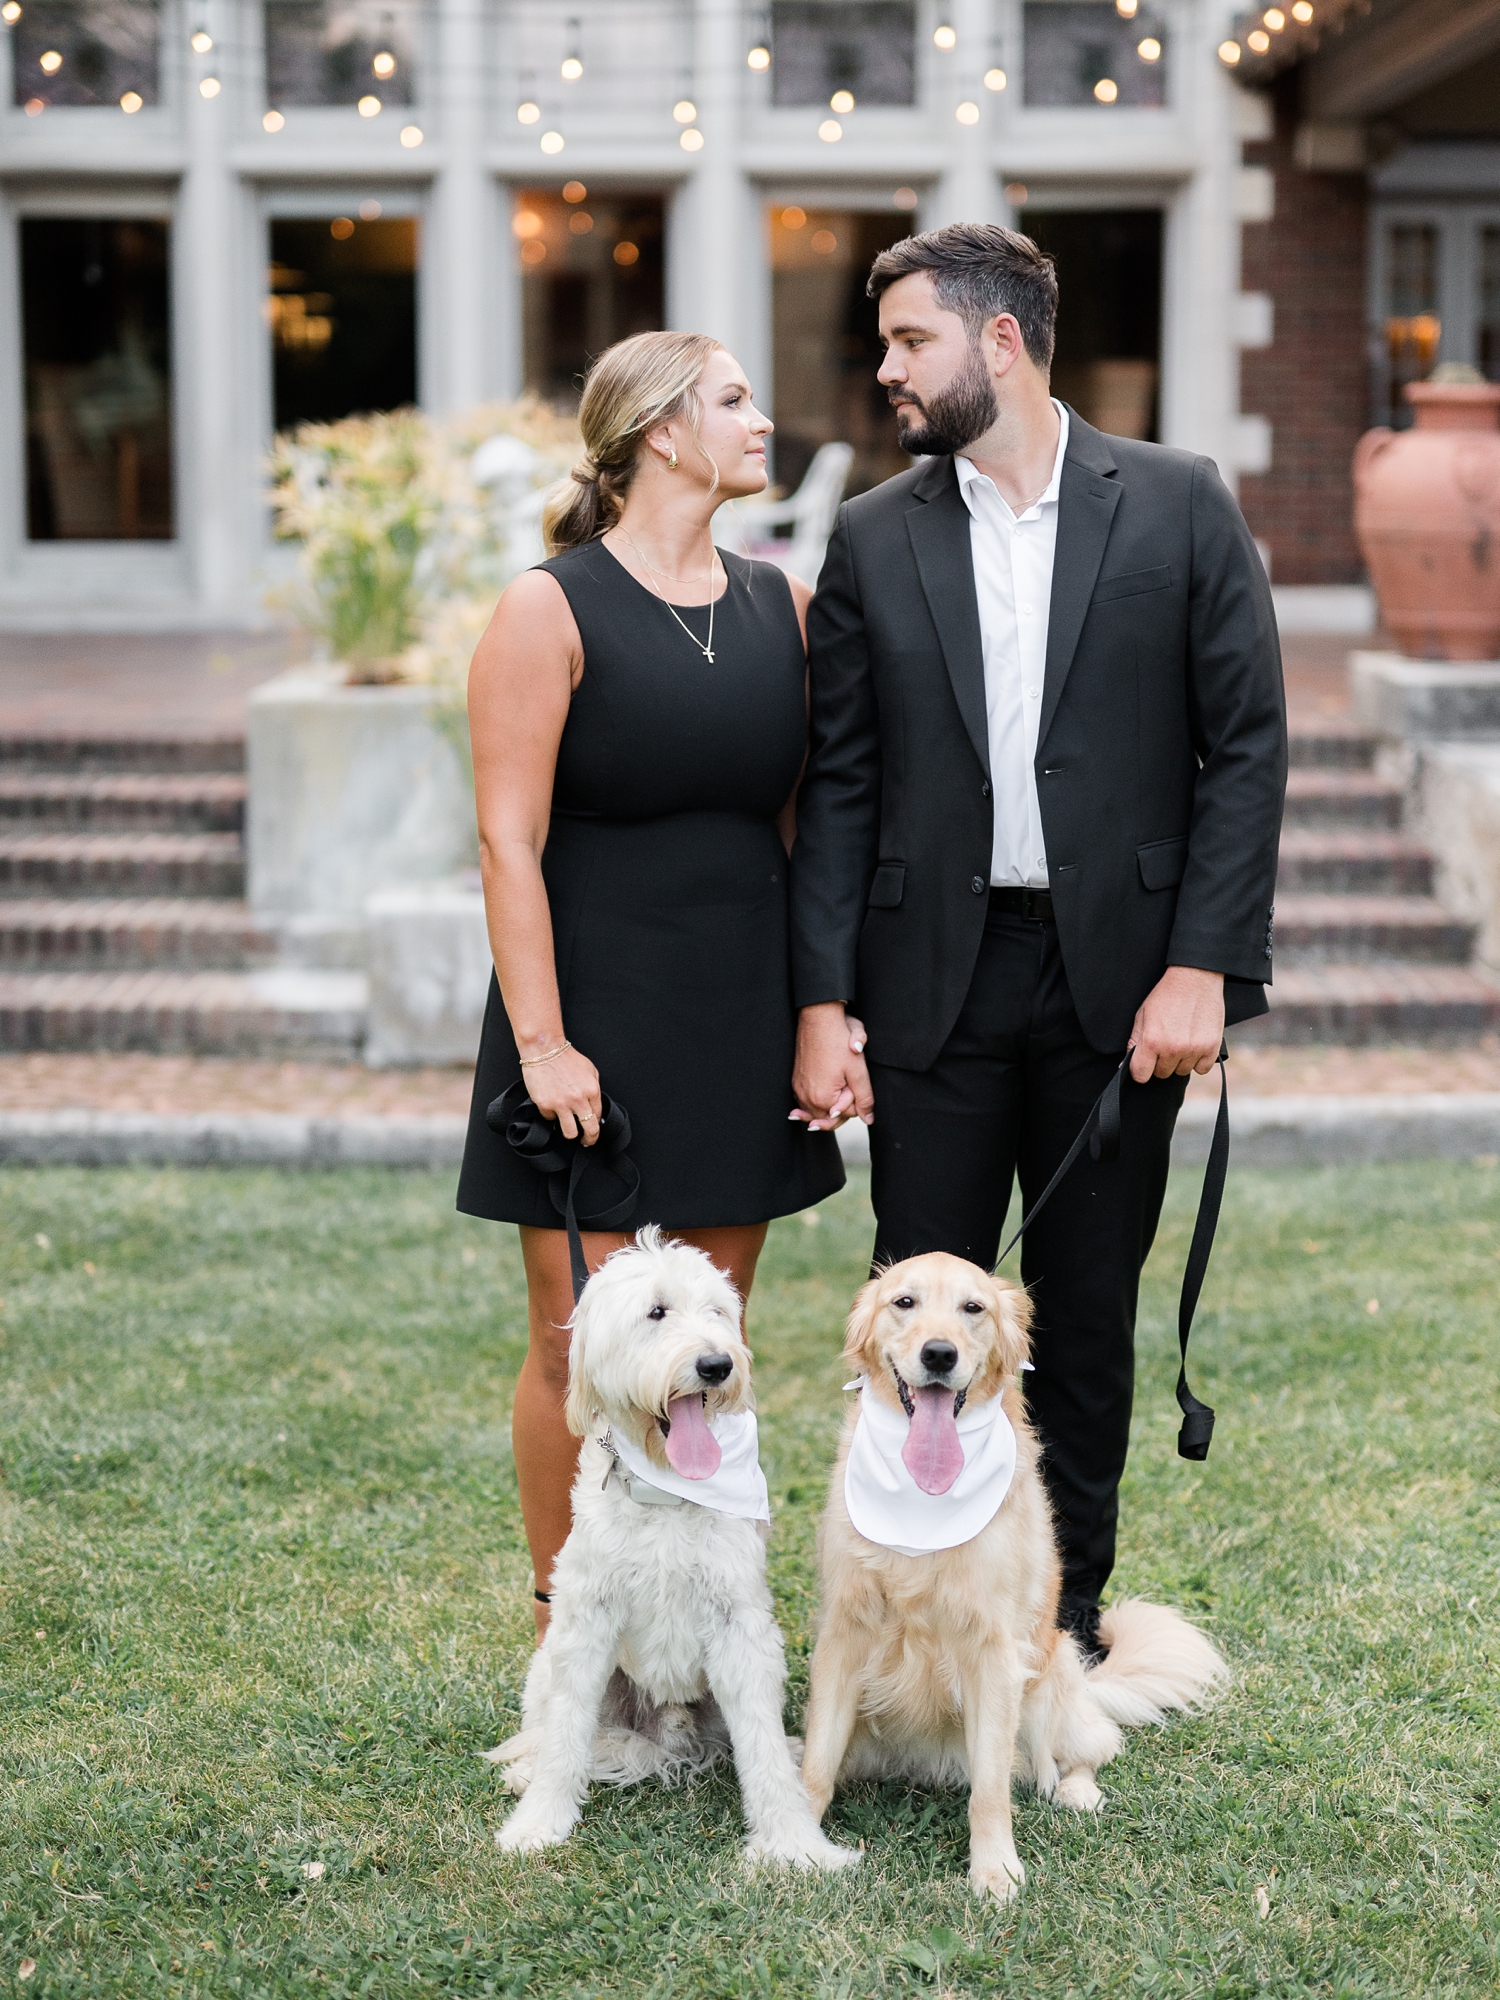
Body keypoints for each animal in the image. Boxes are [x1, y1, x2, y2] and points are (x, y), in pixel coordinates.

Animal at [494, 1216, 864, 1872]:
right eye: (656, 1312)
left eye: (717, 1312)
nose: (717, 1365)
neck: (665, 1489)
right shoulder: (587, 1623)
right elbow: (566, 1733)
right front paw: (539, 1824)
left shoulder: (741, 1629)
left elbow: (762, 1749)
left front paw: (794, 1845)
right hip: (554, 1662)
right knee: (553, 1730)